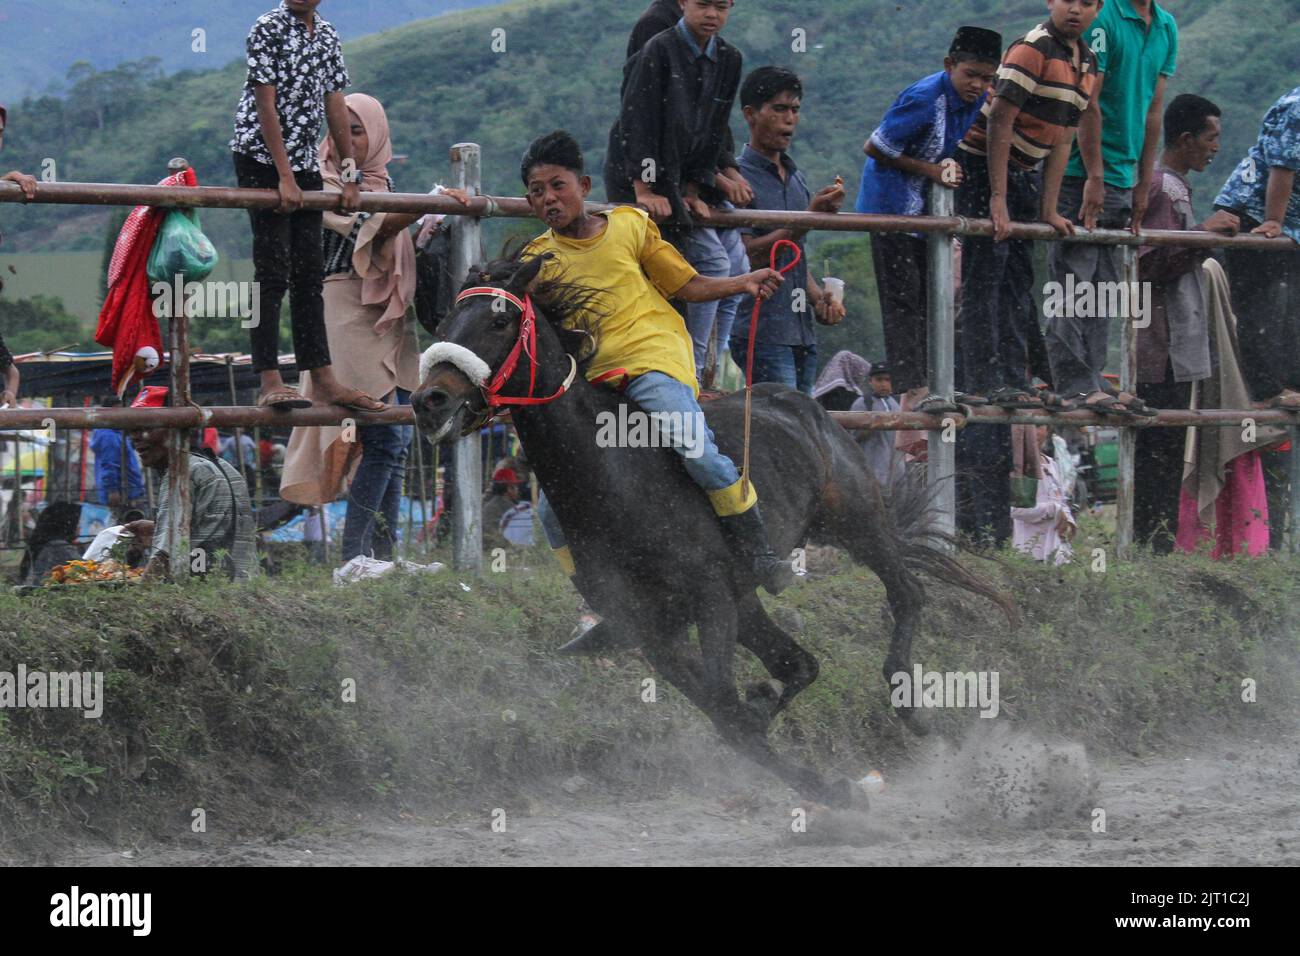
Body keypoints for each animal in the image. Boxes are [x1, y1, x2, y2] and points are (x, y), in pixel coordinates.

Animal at [416, 251, 1013, 806]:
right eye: (445, 320)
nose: (430, 400)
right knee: (803, 662)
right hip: (752, 594)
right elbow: (729, 712)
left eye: (498, 321)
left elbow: (727, 707)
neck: (615, 476)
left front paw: (818, 776)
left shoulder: (709, 598)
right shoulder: (654, 627)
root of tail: (801, 402)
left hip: (856, 519)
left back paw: (908, 704)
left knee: (906, 593)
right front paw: (820, 779)